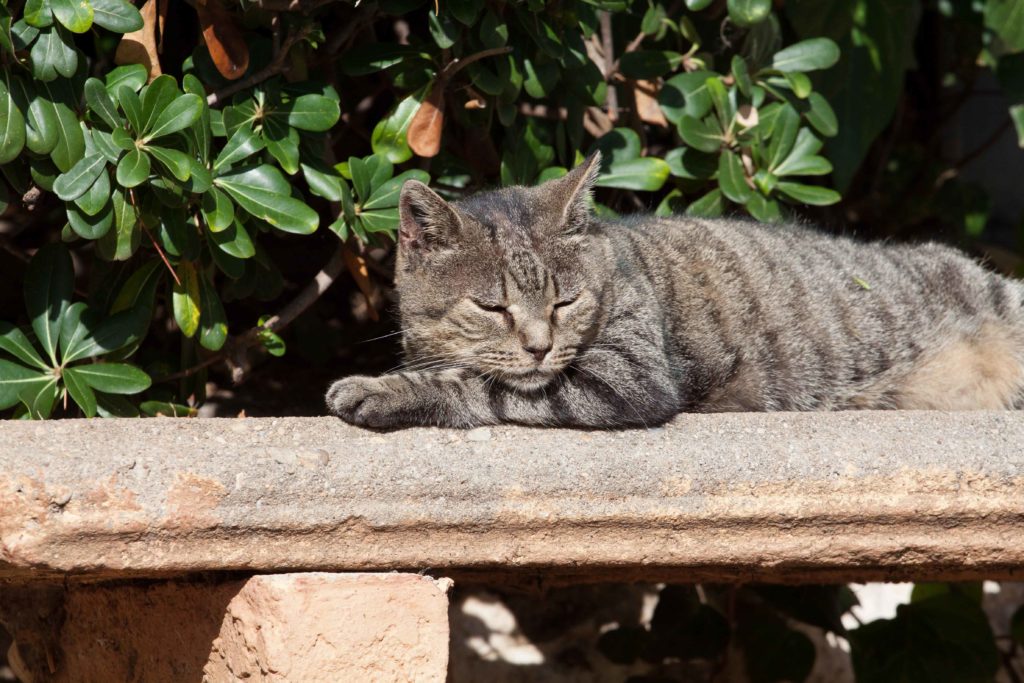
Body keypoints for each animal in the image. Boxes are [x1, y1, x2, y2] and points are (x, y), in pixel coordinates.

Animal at [325, 151, 1024, 428]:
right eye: (492, 307)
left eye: (564, 301)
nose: (540, 345)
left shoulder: (628, 376)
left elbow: (476, 386)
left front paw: (379, 390)